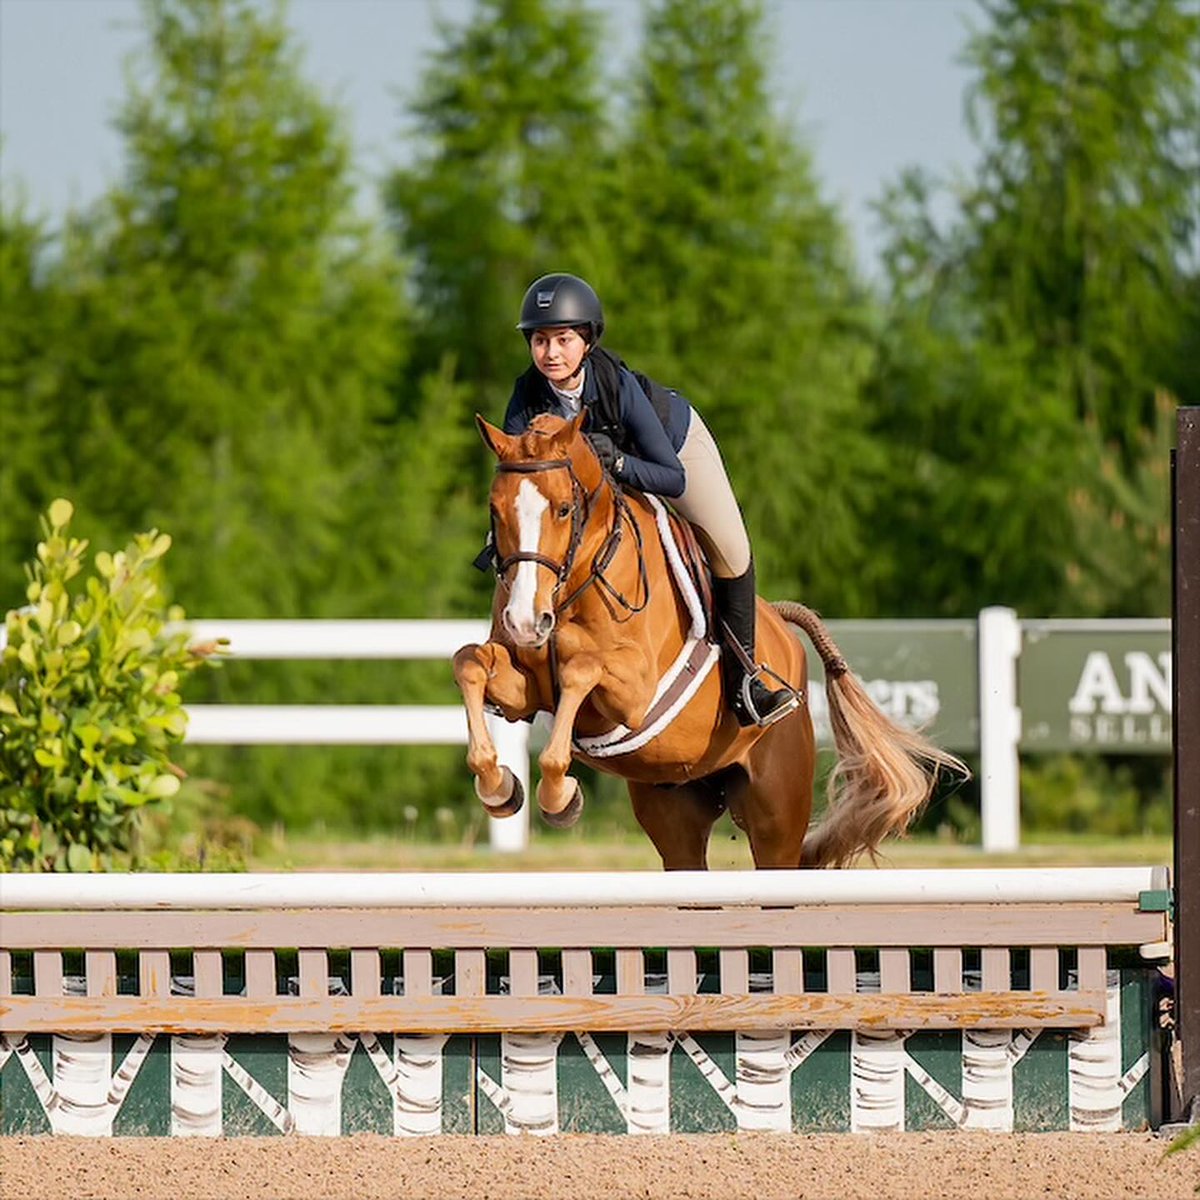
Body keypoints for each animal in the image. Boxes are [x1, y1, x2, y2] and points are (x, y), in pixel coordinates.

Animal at [453, 411, 965, 869]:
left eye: (562, 509)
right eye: (495, 511)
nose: (525, 621)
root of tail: (781, 626)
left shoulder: (634, 695)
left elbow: (581, 668)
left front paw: (560, 797)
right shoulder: (524, 686)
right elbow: (469, 662)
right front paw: (498, 787)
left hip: (775, 815)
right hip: (675, 810)